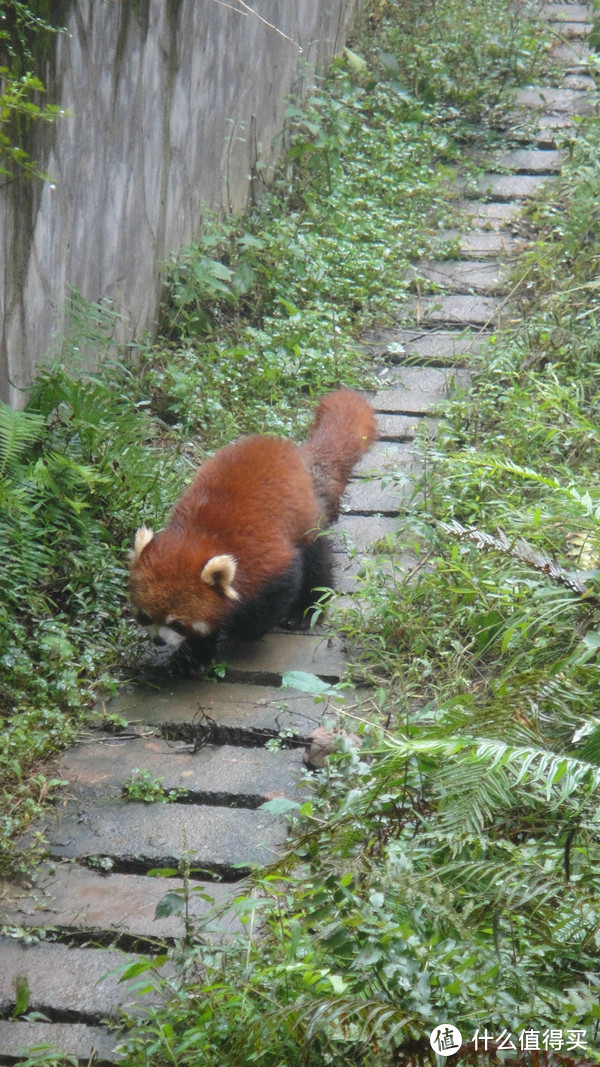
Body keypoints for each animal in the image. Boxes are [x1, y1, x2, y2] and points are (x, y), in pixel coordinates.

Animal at [129, 388, 375, 661]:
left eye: (177, 623)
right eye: (145, 616)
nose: (159, 640)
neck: (201, 535)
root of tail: (296, 454)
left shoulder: (266, 559)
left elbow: (276, 594)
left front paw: (242, 629)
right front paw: (195, 654)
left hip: (306, 521)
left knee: (317, 561)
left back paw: (306, 609)